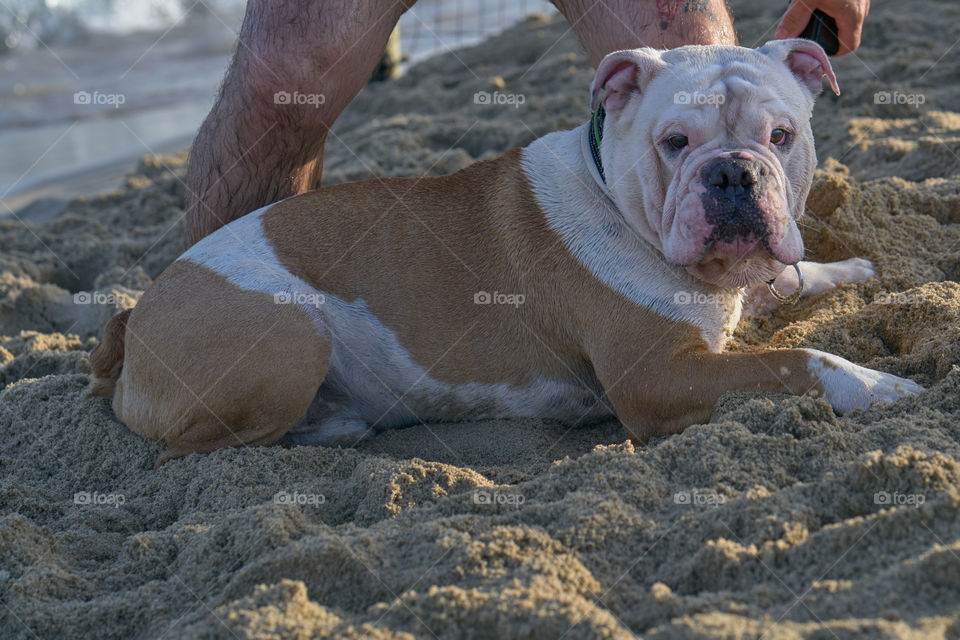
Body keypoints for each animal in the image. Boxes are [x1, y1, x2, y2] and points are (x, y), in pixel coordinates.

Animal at [90, 42, 924, 468]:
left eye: (782, 136)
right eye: (675, 142)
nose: (731, 172)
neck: (615, 192)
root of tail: (133, 318)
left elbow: (790, 285)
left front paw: (849, 271)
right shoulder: (658, 378)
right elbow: (795, 360)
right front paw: (875, 386)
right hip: (290, 331)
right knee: (194, 446)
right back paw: (335, 427)